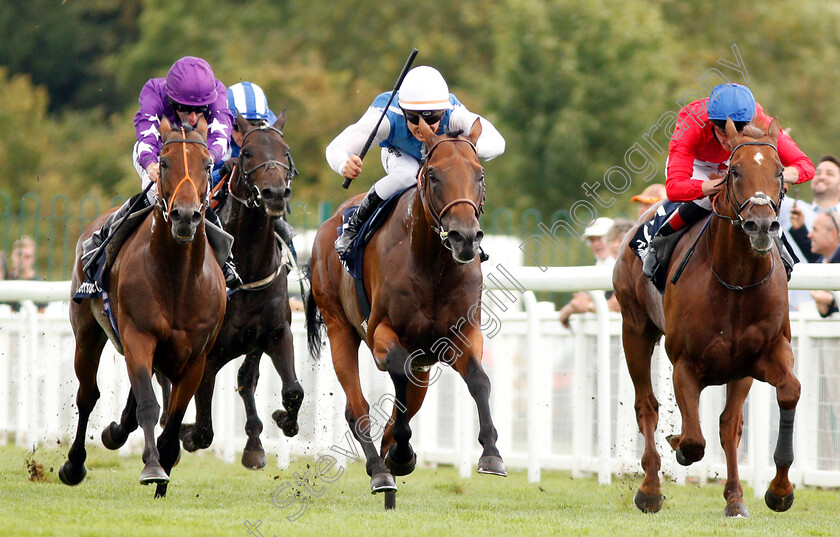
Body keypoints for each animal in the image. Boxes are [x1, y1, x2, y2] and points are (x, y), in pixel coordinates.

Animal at [60, 117, 226, 498]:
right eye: (163, 162)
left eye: (207, 164)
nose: (184, 216)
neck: (177, 276)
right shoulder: (138, 337)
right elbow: (150, 405)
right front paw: (152, 467)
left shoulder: (196, 357)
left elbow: (174, 419)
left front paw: (163, 474)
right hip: (87, 334)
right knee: (87, 395)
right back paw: (74, 465)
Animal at [306, 118, 506, 502]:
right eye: (434, 175)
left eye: (480, 174)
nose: (464, 237)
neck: (433, 265)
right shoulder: (381, 335)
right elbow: (397, 373)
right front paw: (399, 452)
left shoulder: (461, 336)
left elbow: (480, 380)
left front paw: (491, 453)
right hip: (340, 327)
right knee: (358, 409)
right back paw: (380, 469)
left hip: (425, 362)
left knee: (408, 401)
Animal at [616, 120, 800, 516]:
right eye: (734, 171)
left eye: (780, 172)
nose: (762, 226)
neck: (736, 281)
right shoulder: (685, 363)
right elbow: (694, 441)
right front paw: (678, 447)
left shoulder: (760, 356)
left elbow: (784, 394)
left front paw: (777, 491)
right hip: (634, 328)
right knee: (646, 405)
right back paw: (650, 489)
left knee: (729, 425)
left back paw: (735, 497)